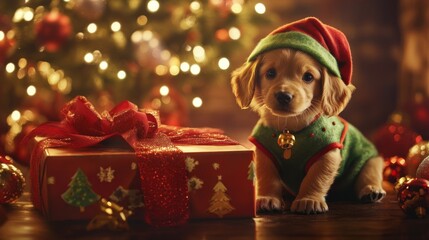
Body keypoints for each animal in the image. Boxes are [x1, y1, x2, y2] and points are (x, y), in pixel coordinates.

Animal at [231, 17, 384, 215]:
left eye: (308, 77)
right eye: (270, 73)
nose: (284, 96)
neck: (290, 128)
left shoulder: (327, 155)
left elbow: (315, 179)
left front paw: (308, 200)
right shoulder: (264, 153)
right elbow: (267, 177)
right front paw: (267, 198)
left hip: (371, 160)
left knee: (368, 175)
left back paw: (371, 190)